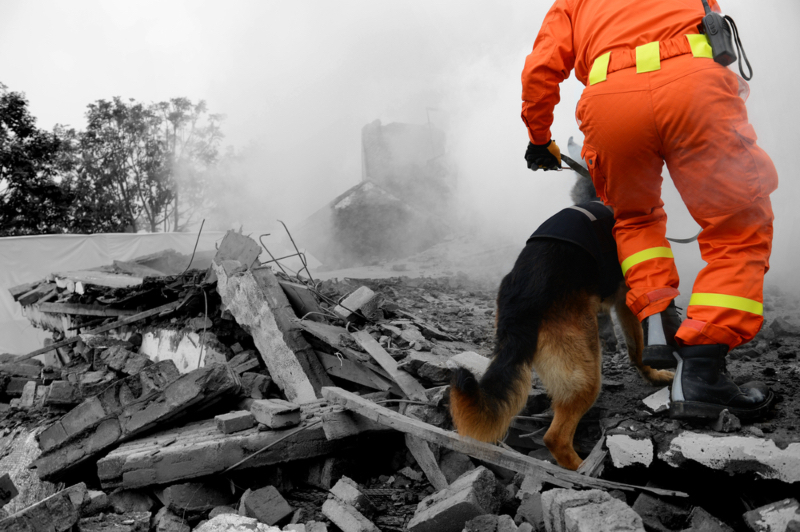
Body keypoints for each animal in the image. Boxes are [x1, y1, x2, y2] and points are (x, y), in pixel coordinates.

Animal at [450, 159, 676, 470]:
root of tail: (522, 297)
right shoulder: (627, 299)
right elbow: (638, 347)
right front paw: (653, 375)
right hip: (585, 374)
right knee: (555, 437)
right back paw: (583, 470)